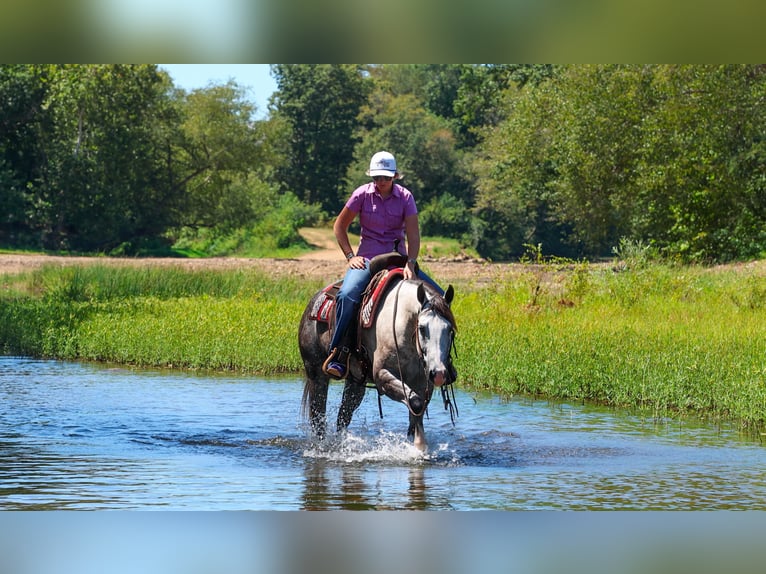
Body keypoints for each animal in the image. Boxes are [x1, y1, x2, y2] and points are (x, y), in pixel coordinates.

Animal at [298, 253, 457, 451]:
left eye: (450, 330)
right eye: (422, 328)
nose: (440, 374)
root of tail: (313, 302)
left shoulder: (422, 381)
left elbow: (417, 413)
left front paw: (418, 447)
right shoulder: (382, 376)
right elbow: (415, 403)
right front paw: (419, 446)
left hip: (355, 382)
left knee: (343, 415)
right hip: (316, 375)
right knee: (317, 416)